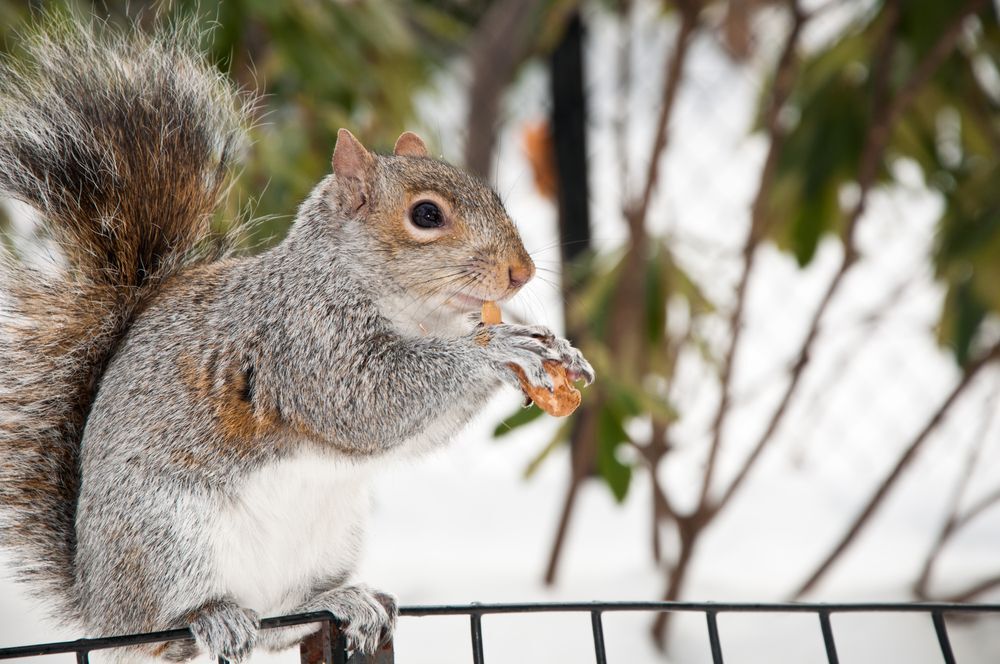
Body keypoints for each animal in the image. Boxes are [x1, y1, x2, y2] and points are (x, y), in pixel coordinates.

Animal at [0, 14, 593, 664]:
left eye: (491, 194)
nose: (521, 273)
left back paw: (342, 600)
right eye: (427, 216)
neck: (417, 316)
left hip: (328, 539)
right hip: (166, 535)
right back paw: (211, 616)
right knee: (173, 627)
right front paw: (500, 349)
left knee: (282, 620)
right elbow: (369, 401)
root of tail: (98, 602)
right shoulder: (305, 343)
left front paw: (557, 351)